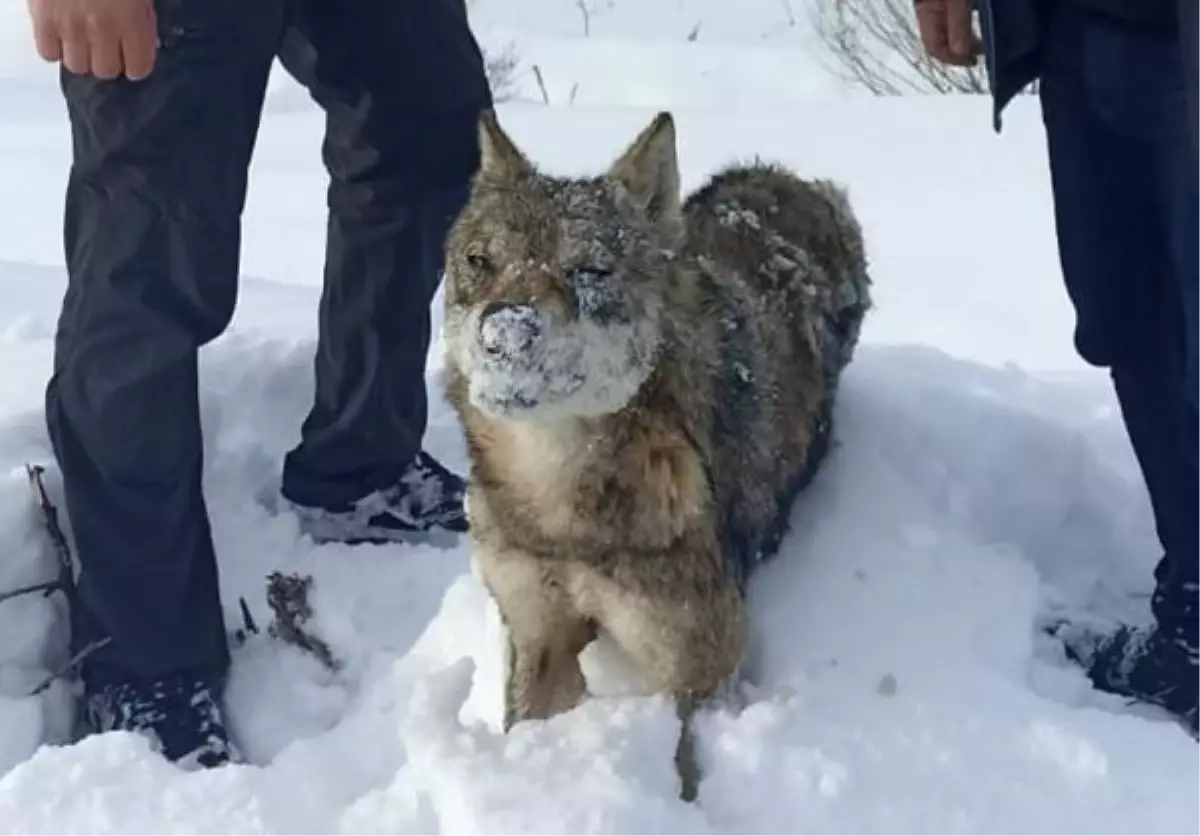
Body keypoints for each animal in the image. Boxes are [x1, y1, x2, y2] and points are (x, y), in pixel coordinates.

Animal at [441, 110, 873, 796]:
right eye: (481, 261)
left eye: (589, 271)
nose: (503, 334)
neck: (562, 509)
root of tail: (783, 176)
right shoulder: (537, 632)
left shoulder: (695, 664)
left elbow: (682, 769)